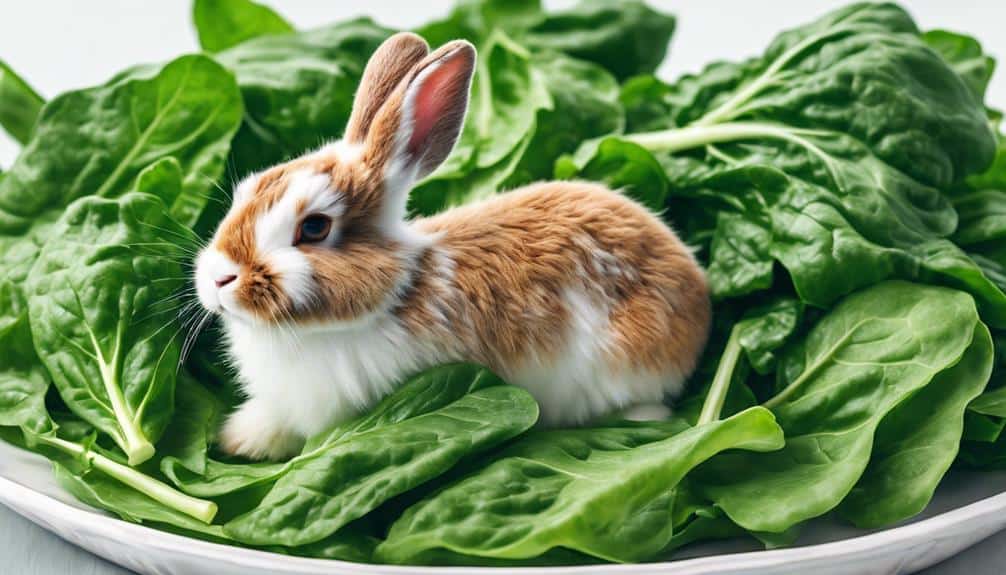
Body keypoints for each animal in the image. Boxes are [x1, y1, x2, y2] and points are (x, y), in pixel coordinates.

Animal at [195, 32, 712, 461]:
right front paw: (238, 439)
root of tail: (697, 296)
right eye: (246, 189)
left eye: (315, 228)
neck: (393, 296)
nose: (219, 279)